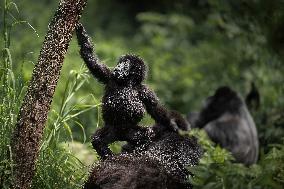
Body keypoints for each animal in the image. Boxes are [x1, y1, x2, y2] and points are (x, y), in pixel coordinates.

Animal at [76, 23, 184, 159]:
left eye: (125, 64)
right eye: (121, 63)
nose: (118, 66)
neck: (128, 83)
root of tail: (120, 136)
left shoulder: (145, 91)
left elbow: (156, 109)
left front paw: (172, 125)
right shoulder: (110, 77)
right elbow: (93, 62)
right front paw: (82, 36)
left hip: (130, 131)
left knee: (146, 135)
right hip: (112, 129)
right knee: (98, 140)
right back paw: (108, 155)